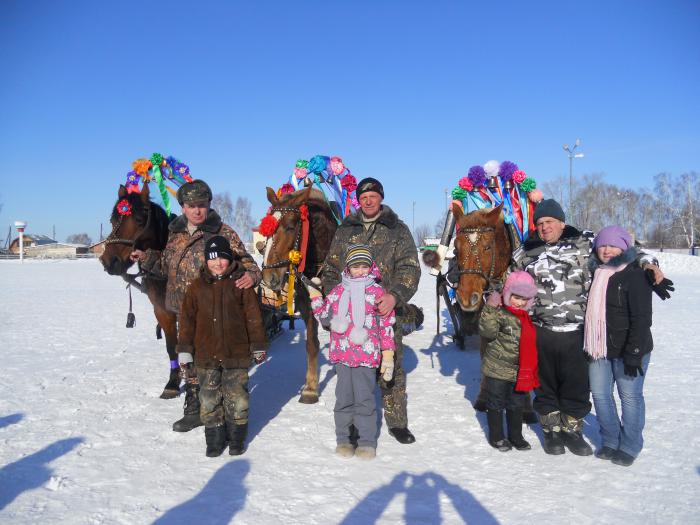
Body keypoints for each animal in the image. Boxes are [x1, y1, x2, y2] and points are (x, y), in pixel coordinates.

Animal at [98, 182, 180, 400]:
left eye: (140, 220)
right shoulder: (162, 311)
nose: (109, 261)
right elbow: (172, 347)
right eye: (112, 220)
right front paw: (173, 383)